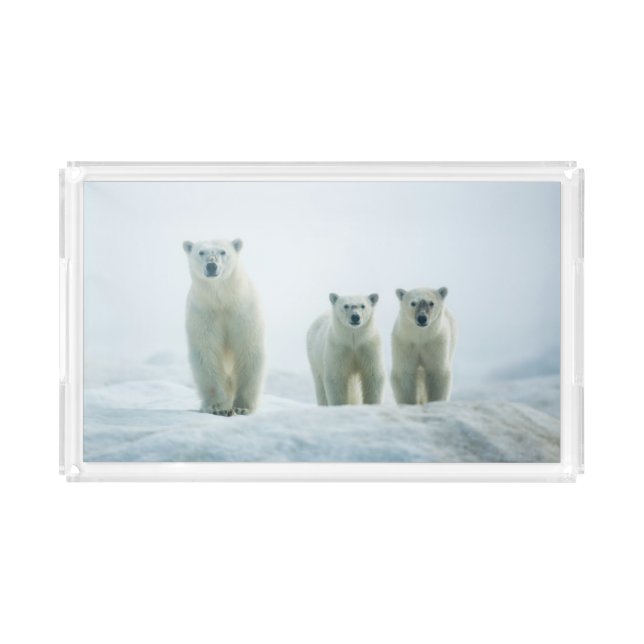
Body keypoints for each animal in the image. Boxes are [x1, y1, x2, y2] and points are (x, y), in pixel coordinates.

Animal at [183, 238, 265, 416]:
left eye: (223, 251)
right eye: (201, 252)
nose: (211, 266)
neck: (222, 300)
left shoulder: (242, 311)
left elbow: (248, 349)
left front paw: (242, 407)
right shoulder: (204, 313)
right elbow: (206, 352)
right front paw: (217, 407)